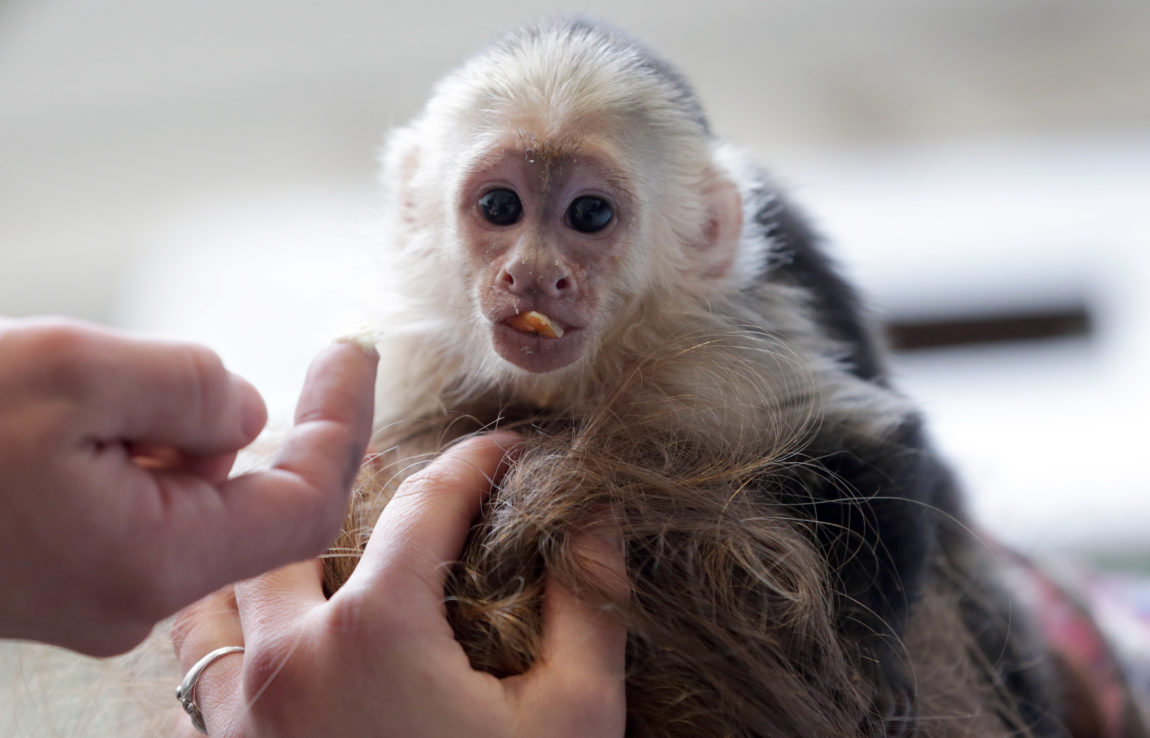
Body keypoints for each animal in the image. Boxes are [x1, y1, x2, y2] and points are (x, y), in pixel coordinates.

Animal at [322, 17, 1140, 735]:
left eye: (589, 214)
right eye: (500, 206)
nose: (533, 276)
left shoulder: (707, 346)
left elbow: (871, 441)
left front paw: (868, 656)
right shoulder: (426, 358)